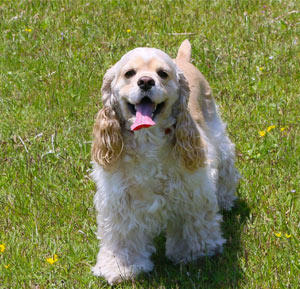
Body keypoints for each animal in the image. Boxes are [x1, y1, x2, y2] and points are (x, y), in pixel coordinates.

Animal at [90, 39, 240, 282]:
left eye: (163, 74)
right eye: (129, 73)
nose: (145, 81)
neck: (148, 140)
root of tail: (182, 59)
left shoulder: (193, 190)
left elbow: (194, 224)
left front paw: (195, 254)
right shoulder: (119, 200)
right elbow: (123, 236)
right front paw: (121, 267)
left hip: (216, 131)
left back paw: (226, 200)